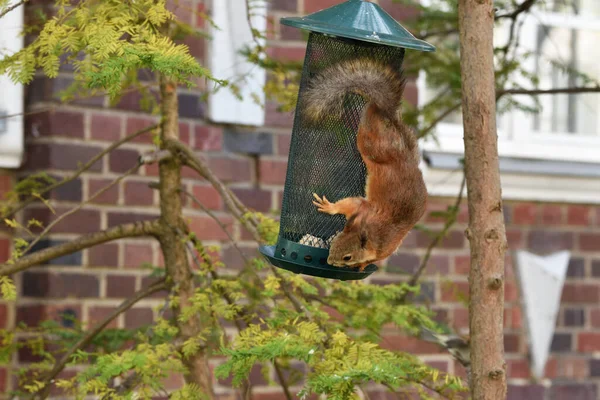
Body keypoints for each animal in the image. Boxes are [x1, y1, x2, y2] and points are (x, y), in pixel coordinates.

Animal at [304, 57, 426, 270]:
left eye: (348, 257)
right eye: (336, 242)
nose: (329, 261)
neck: (371, 231)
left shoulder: (386, 246)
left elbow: (374, 258)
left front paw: (361, 266)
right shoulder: (361, 210)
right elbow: (351, 203)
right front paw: (330, 207)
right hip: (370, 144)